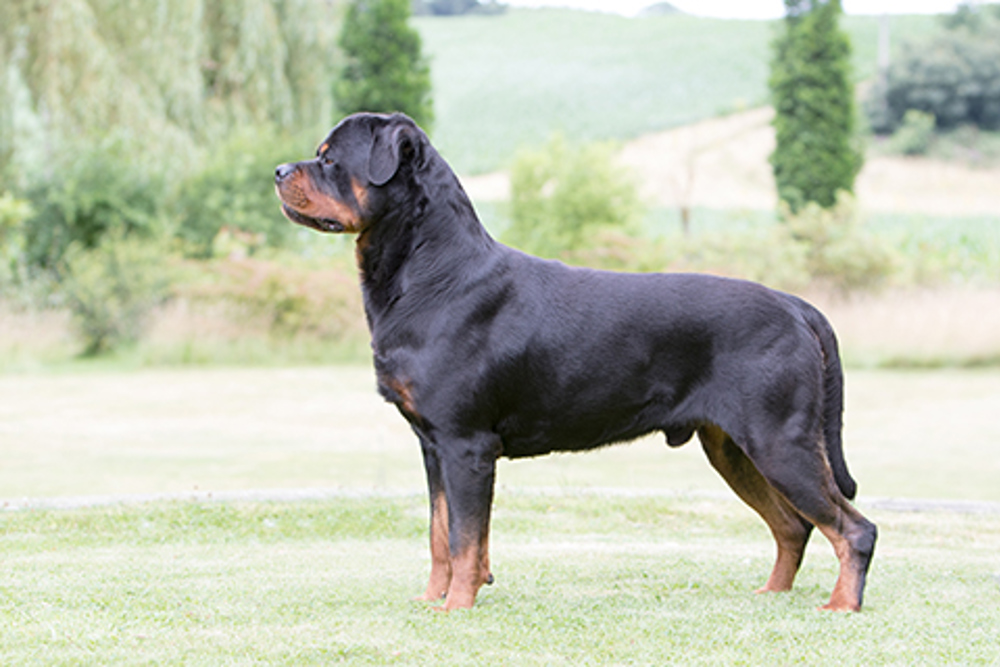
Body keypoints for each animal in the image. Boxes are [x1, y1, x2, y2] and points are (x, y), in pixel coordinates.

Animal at [274, 113, 876, 612]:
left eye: (330, 159)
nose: (278, 170)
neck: (430, 272)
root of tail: (796, 306)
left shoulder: (466, 443)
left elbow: (466, 538)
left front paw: (456, 608)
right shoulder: (432, 444)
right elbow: (440, 533)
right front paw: (431, 601)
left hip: (780, 441)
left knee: (853, 529)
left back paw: (841, 605)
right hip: (732, 448)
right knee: (793, 526)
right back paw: (772, 594)